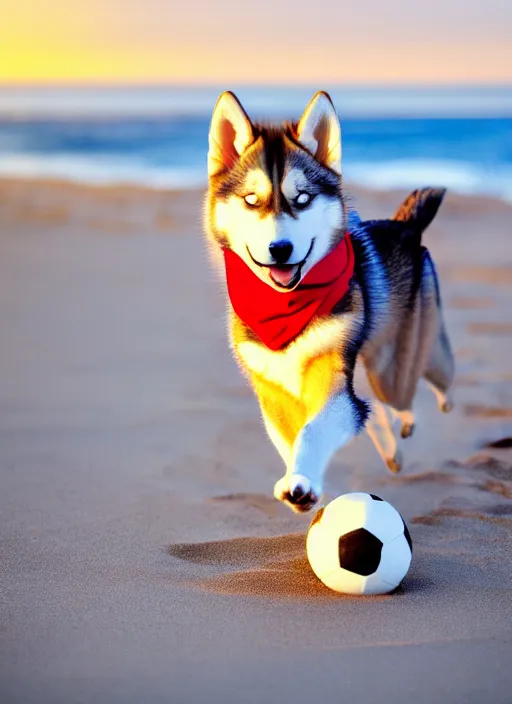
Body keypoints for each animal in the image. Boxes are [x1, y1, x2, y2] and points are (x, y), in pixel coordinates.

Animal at [202, 91, 454, 516]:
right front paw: (302, 483)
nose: (280, 249)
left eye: (302, 199)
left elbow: (315, 429)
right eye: (251, 200)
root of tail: (405, 226)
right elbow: (293, 434)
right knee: (369, 407)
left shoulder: (330, 370)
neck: (285, 309)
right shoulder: (271, 385)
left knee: (420, 384)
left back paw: (425, 411)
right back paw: (390, 446)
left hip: (397, 364)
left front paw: (303, 482)